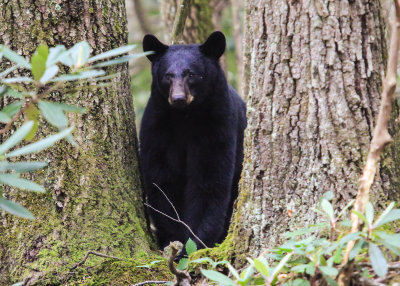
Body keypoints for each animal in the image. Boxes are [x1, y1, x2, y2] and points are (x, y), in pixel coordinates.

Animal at [141, 31, 247, 250]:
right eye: (168, 75)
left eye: (192, 74)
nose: (178, 98)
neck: (185, 117)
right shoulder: (158, 129)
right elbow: (162, 182)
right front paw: (173, 239)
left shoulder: (217, 126)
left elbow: (208, 182)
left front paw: (193, 244)